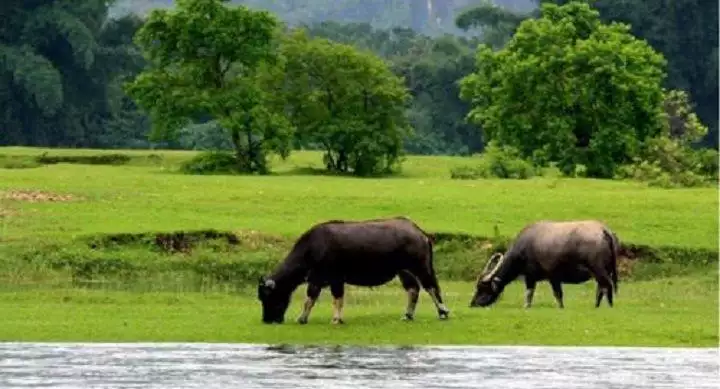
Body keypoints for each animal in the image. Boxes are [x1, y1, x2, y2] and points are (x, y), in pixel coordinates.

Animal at [258, 215, 450, 324]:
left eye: (268, 297)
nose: (267, 320)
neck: (312, 248)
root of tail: (419, 232)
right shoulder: (334, 280)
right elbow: (337, 299)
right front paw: (337, 318)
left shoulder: (321, 279)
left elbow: (311, 298)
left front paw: (305, 318)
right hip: (403, 271)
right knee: (413, 289)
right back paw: (408, 315)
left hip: (420, 266)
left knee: (431, 287)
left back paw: (443, 312)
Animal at [466, 220, 620, 308]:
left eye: (482, 288)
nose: (472, 304)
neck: (525, 247)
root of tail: (604, 230)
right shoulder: (536, 277)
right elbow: (533, 294)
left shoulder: (547, 277)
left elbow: (552, 294)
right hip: (604, 270)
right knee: (601, 288)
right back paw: (597, 306)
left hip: (599, 269)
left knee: (607, 286)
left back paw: (608, 306)